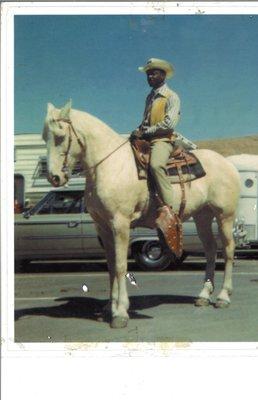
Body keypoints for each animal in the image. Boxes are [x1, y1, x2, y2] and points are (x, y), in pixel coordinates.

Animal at [42, 100, 242, 328]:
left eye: (60, 136)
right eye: (44, 137)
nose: (54, 177)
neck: (109, 165)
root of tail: (229, 164)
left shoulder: (120, 223)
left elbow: (121, 266)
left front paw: (120, 312)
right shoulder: (103, 226)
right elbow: (111, 266)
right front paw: (110, 307)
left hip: (225, 216)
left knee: (228, 250)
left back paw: (223, 297)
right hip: (203, 217)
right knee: (210, 250)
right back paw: (203, 295)